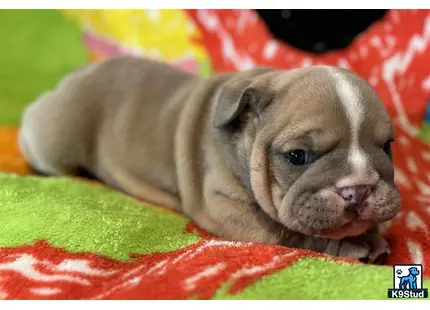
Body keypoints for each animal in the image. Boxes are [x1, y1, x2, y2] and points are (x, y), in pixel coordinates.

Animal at [18, 55, 402, 264]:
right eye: (297, 156)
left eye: (387, 147)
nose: (360, 188)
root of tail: (75, 76)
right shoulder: (225, 207)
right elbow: (288, 233)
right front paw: (352, 244)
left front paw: (371, 233)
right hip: (54, 137)